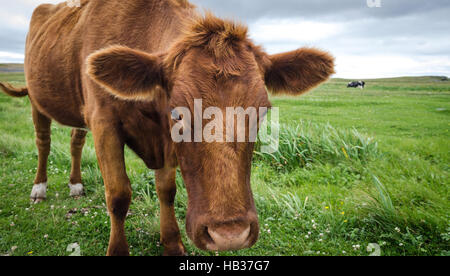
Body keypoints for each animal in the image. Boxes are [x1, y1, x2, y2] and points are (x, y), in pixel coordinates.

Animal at [0, 0, 334, 256]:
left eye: (262, 113)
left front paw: (172, 242)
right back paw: (39, 188)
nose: (230, 234)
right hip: (38, 100)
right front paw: (118, 250)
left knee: (74, 140)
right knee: (43, 142)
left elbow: (167, 190)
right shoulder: (103, 121)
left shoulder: (162, 143)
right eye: (177, 113)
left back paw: (76, 185)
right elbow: (118, 195)